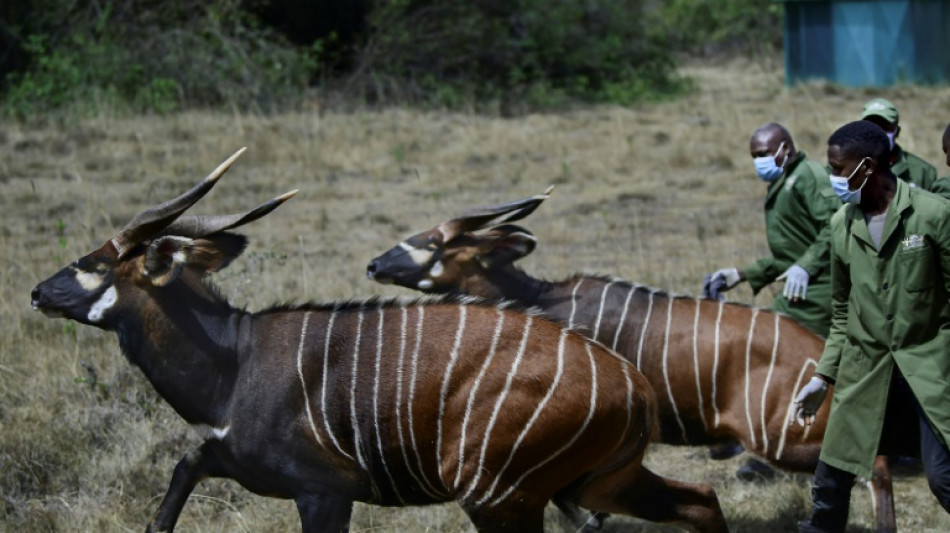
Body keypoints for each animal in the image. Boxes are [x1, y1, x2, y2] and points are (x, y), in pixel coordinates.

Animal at [29, 150, 728, 532]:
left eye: (90, 263)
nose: (36, 292)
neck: (234, 363)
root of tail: (634, 387)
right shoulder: (227, 458)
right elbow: (178, 478)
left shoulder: (325, 494)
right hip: (591, 483)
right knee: (701, 501)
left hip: (502, 498)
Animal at [364, 189, 900, 528]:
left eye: (432, 242)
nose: (373, 264)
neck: (545, 302)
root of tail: (821, 356)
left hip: (779, 439)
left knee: (874, 464)